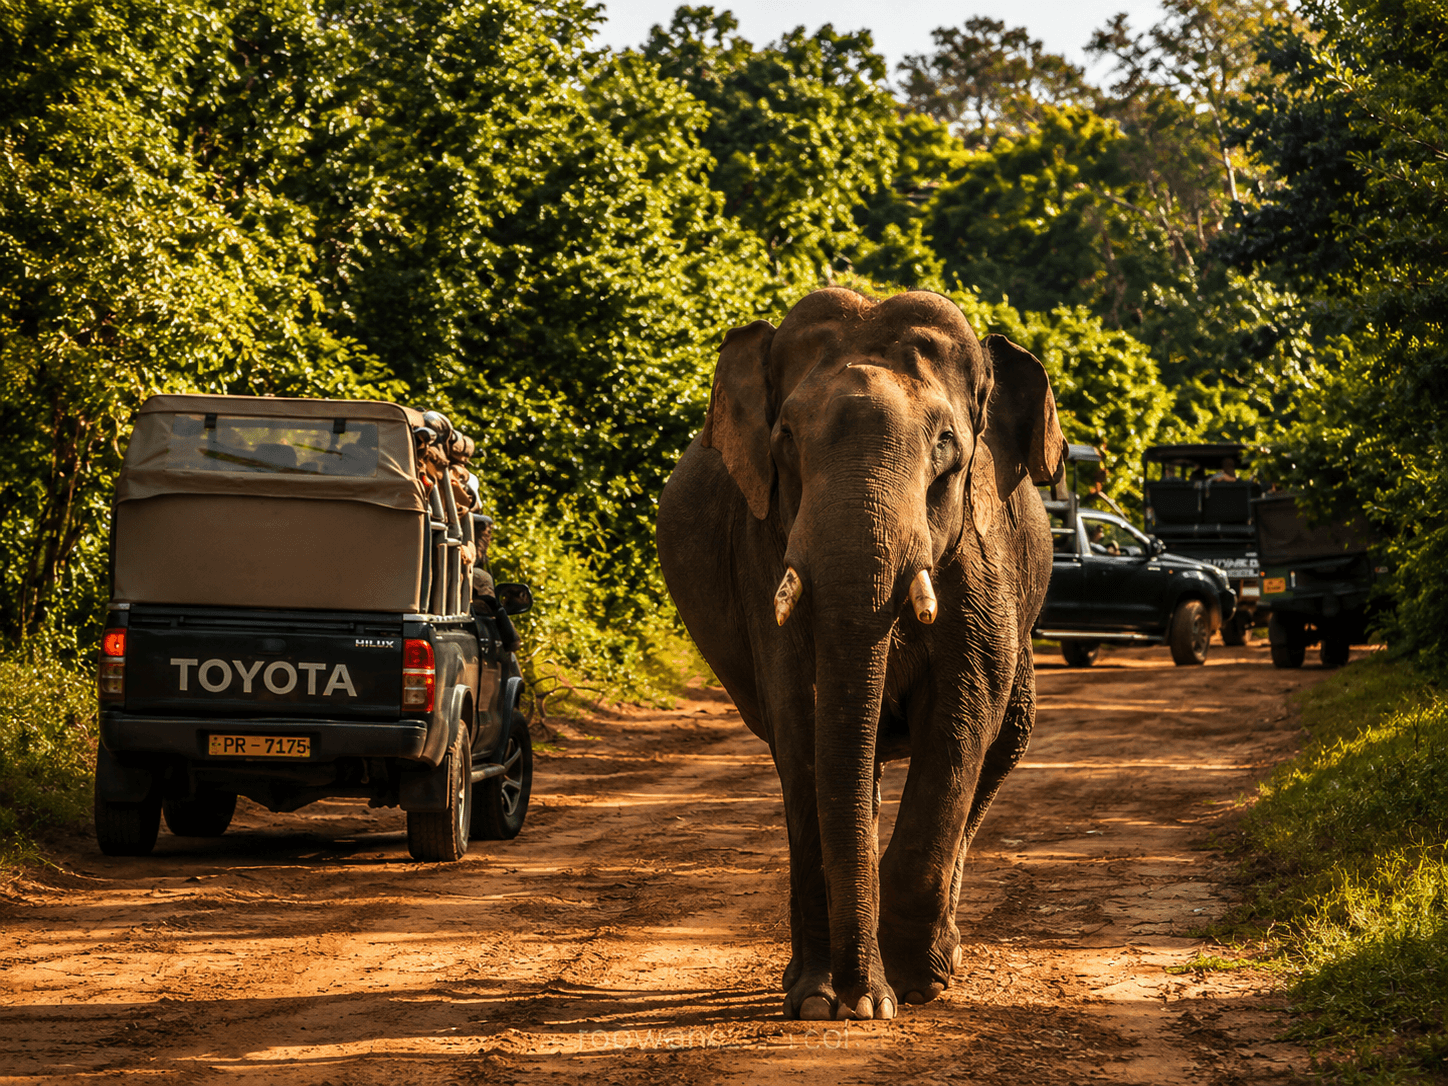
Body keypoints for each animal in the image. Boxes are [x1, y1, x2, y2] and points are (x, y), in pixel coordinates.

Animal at [655, 287, 1067, 1021]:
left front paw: (909, 989)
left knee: (1003, 743)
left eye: (947, 446)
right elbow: (803, 719)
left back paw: (940, 960)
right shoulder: (764, 551)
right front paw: (823, 1001)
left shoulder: (980, 557)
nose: (856, 1003)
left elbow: (961, 719)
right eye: (786, 441)